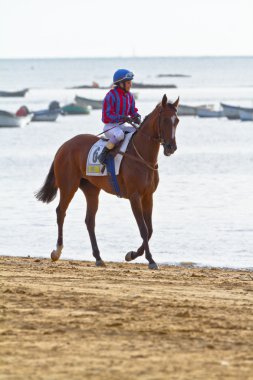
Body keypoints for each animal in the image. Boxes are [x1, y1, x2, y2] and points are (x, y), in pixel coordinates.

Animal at [35, 93, 179, 268]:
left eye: (177, 120)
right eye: (164, 120)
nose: (171, 147)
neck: (142, 156)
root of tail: (64, 146)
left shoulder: (147, 196)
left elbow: (150, 229)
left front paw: (132, 254)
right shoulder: (134, 196)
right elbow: (143, 229)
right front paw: (150, 260)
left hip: (91, 190)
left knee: (89, 220)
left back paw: (98, 257)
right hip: (68, 186)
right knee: (61, 212)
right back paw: (57, 251)